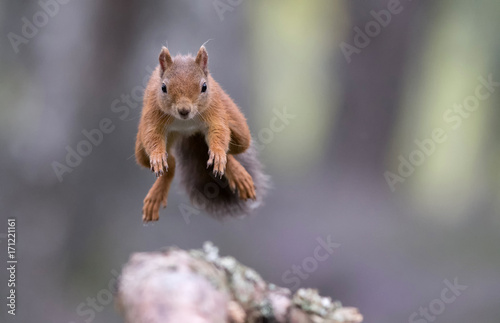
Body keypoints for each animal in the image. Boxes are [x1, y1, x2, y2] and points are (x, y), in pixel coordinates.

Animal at [135, 46, 268, 223]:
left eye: (204, 87)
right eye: (163, 88)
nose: (184, 110)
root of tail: (188, 132)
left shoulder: (214, 108)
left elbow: (219, 129)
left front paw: (218, 154)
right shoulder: (153, 112)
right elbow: (152, 134)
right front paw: (157, 156)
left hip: (240, 131)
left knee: (232, 148)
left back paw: (234, 170)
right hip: (141, 151)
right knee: (170, 162)